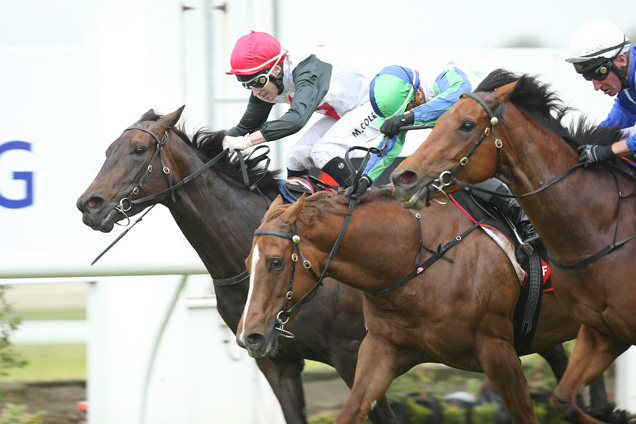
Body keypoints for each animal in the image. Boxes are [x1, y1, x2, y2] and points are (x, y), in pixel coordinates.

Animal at [241, 191, 620, 424]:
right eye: (248, 262)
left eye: (275, 262)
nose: (250, 336)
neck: (413, 257)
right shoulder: (382, 349)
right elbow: (353, 408)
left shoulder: (497, 351)